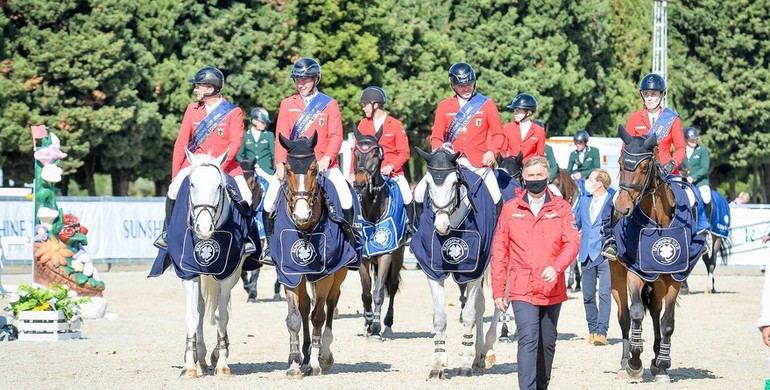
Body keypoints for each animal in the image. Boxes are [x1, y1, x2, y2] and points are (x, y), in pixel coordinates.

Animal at [272, 133, 352, 378]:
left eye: (315, 170)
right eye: (288, 169)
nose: (301, 214)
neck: (306, 229)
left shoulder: (325, 274)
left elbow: (318, 315)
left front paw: (317, 362)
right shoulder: (289, 273)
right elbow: (294, 317)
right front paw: (295, 363)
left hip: (339, 274)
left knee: (330, 305)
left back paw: (323, 355)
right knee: (306, 307)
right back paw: (306, 356)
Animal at [412, 144, 496, 378]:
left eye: (454, 183)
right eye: (428, 184)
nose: (441, 226)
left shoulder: (475, 270)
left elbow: (468, 315)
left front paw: (465, 364)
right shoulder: (432, 270)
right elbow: (440, 317)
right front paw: (437, 364)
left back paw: (486, 349)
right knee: (481, 305)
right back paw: (478, 356)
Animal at [612, 125, 704, 380]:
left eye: (645, 167)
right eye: (620, 163)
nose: (622, 209)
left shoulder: (674, 278)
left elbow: (668, 322)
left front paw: (662, 364)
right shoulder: (634, 272)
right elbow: (634, 312)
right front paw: (634, 362)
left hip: (660, 282)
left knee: (655, 312)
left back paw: (655, 359)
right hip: (616, 275)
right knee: (624, 316)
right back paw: (625, 361)